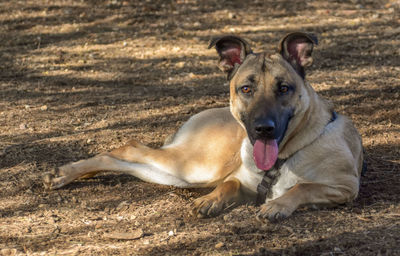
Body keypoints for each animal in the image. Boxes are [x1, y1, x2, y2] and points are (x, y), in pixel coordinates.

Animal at [42, 31, 364, 220]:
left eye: (284, 88)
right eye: (246, 89)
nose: (263, 128)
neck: (284, 156)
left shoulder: (344, 186)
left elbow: (303, 187)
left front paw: (278, 204)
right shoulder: (238, 179)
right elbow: (229, 184)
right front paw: (213, 200)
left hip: (183, 173)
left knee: (127, 157)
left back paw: (65, 174)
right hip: (197, 166)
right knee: (130, 148)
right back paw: (65, 174)